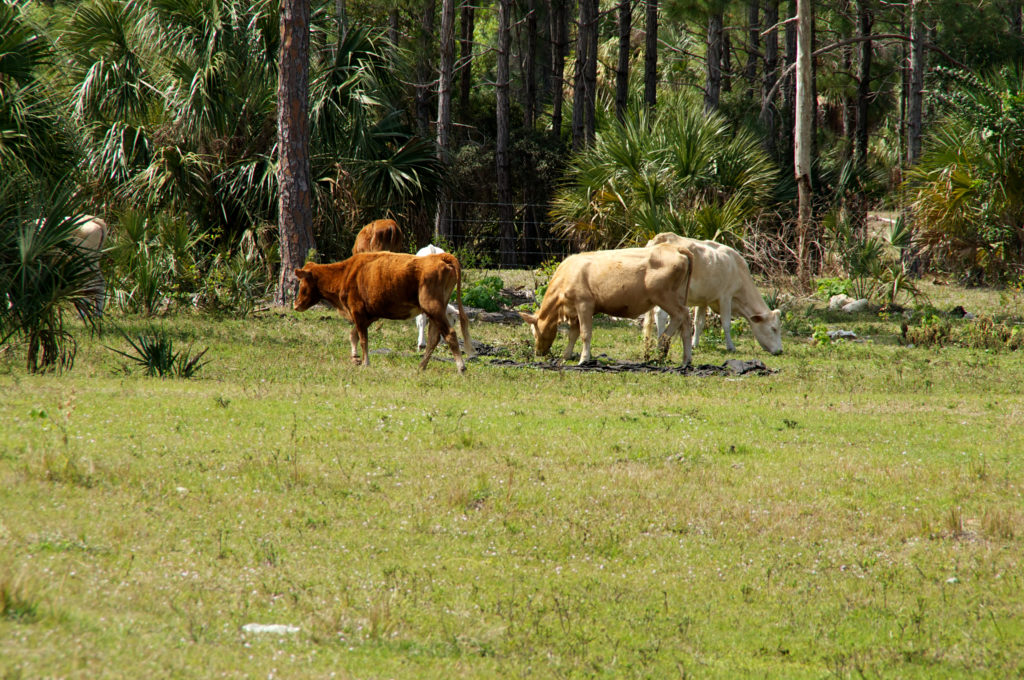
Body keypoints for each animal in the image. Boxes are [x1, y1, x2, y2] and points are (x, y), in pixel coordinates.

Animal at [292, 251, 475, 374]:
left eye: (301, 282)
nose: (296, 304)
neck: (346, 273)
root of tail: (440, 257)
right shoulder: (368, 314)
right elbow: (353, 335)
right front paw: (355, 358)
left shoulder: (357, 311)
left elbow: (363, 339)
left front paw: (365, 362)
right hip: (435, 310)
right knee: (434, 338)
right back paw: (421, 366)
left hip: (433, 307)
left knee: (450, 334)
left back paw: (461, 367)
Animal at [520, 241, 696, 364]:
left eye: (534, 331)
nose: (538, 352)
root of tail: (674, 248)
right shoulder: (575, 311)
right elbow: (573, 335)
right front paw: (565, 356)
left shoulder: (584, 305)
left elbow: (585, 333)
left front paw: (583, 359)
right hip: (677, 296)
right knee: (686, 322)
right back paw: (686, 360)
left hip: (664, 296)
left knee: (680, 316)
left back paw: (662, 343)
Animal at [638, 231, 782, 352]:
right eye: (773, 328)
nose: (780, 351)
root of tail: (663, 237)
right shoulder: (726, 297)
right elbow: (726, 323)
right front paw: (731, 347)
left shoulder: (703, 300)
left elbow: (699, 322)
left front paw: (694, 344)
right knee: (660, 314)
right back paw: (660, 343)